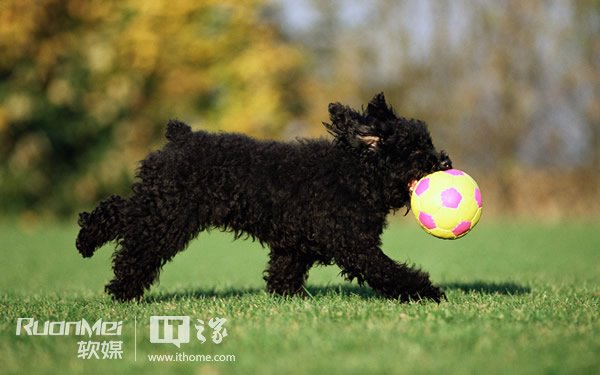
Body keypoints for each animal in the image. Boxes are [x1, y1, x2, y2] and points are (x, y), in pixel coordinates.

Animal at [76, 93, 450, 302]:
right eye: (417, 151)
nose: (445, 162)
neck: (354, 174)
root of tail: (180, 137)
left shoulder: (295, 244)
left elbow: (284, 273)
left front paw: (287, 298)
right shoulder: (355, 246)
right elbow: (388, 271)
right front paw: (427, 292)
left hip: (158, 206)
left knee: (119, 211)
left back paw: (87, 242)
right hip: (167, 216)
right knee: (134, 246)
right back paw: (119, 286)